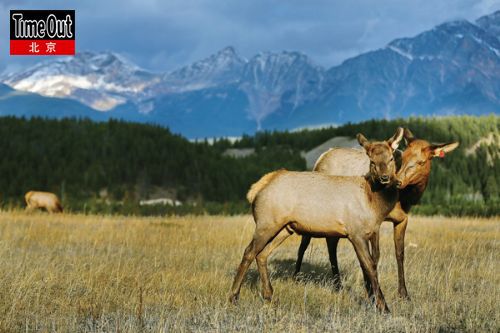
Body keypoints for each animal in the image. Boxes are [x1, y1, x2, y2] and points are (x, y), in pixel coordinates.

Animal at [230, 127, 406, 312]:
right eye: (372, 161)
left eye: (391, 158)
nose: (385, 178)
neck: (374, 205)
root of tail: (256, 189)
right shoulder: (355, 233)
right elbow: (370, 267)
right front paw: (383, 307)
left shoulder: (371, 231)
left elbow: (371, 264)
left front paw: (374, 300)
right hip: (266, 223)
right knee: (249, 252)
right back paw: (234, 297)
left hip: (284, 227)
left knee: (262, 254)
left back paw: (269, 296)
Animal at [294, 127, 458, 298]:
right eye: (403, 157)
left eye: (421, 162)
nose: (398, 181)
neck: (404, 198)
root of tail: (321, 158)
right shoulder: (374, 220)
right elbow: (374, 257)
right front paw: (371, 291)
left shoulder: (402, 219)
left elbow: (400, 253)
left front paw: (403, 293)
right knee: (305, 242)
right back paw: (296, 276)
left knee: (331, 243)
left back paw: (337, 284)